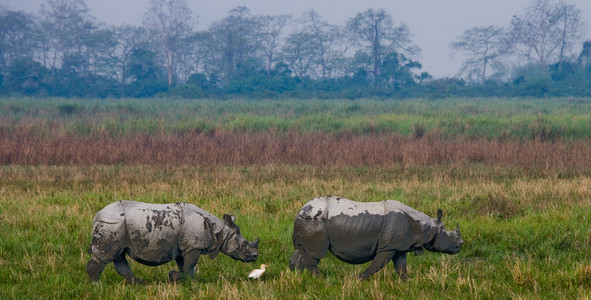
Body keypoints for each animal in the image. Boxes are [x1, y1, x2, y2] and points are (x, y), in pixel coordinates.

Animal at [86, 202, 260, 284]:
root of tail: (97, 214)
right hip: (113, 224)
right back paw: (96, 285)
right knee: (107, 255)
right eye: (244, 244)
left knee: (119, 255)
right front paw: (177, 278)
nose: (255, 256)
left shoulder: (185, 246)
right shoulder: (194, 246)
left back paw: (139, 283)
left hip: (118, 226)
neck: (220, 231)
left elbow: (186, 266)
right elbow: (189, 267)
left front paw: (186, 281)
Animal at [290, 196, 464, 280]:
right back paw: (320, 280)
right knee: (315, 253)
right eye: (450, 236)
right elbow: (377, 264)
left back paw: (298, 278)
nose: (461, 245)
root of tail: (301, 210)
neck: (427, 227)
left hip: (308, 222)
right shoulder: (388, 247)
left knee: (301, 251)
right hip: (315, 221)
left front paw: (407, 283)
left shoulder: (398, 246)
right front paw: (358, 279)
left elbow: (401, 266)